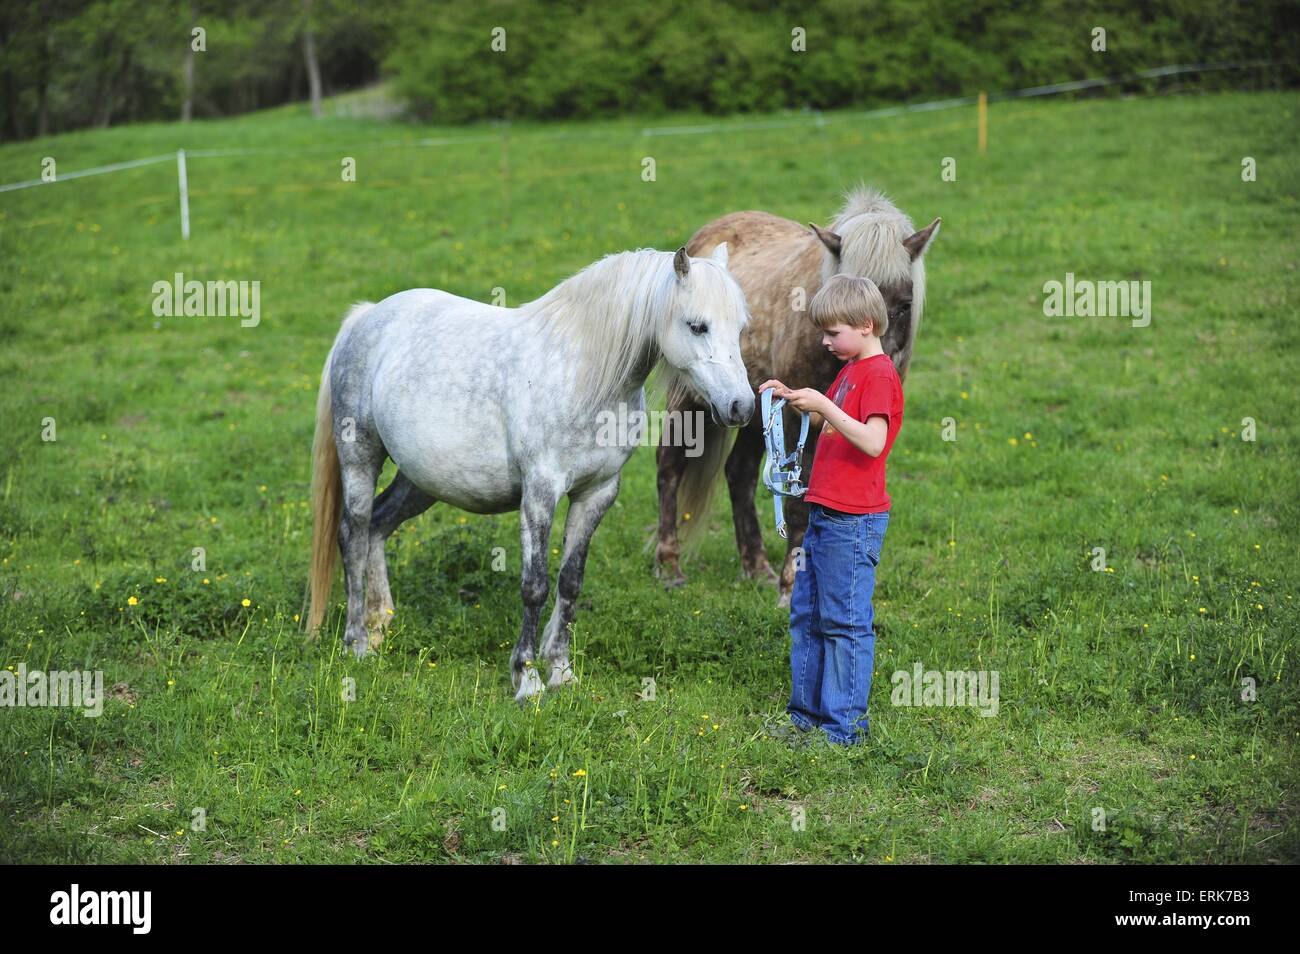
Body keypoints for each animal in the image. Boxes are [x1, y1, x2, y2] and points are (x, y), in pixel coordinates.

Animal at [304, 244, 754, 701]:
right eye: (696, 326)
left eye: (740, 327)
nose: (742, 406)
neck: (582, 375)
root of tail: (366, 316)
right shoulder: (540, 491)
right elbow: (534, 586)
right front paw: (527, 678)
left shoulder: (597, 493)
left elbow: (570, 582)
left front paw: (561, 670)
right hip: (360, 457)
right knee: (354, 534)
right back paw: (357, 642)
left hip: (420, 482)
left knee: (378, 526)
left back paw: (381, 625)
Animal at [655, 187, 941, 605]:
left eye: (905, 305)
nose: (881, 367)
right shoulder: (795, 417)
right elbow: (796, 502)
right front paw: (791, 586)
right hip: (692, 399)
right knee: (670, 465)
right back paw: (669, 567)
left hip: (750, 407)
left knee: (739, 473)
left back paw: (756, 568)